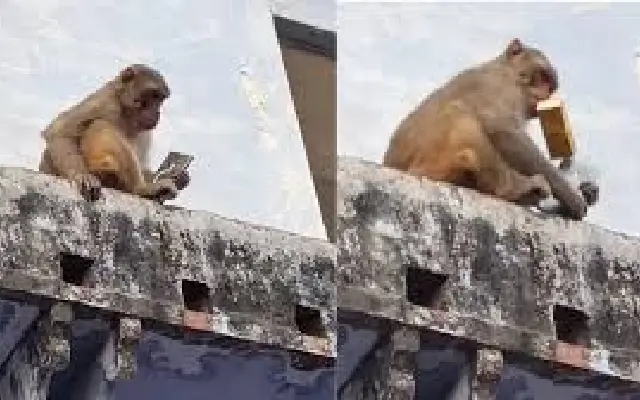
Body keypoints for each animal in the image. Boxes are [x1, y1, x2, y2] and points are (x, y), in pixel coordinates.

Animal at [38, 64, 190, 202]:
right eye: (152, 95)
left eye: (160, 98)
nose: (156, 112)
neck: (125, 110)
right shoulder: (104, 102)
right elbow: (58, 131)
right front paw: (81, 175)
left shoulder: (145, 128)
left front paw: (177, 176)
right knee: (101, 124)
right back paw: (142, 190)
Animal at [383, 38, 592, 220]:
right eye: (541, 76)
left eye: (549, 85)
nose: (544, 94)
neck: (507, 70)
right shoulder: (502, 86)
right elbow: (502, 129)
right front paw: (572, 197)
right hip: (429, 160)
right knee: (461, 115)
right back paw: (515, 189)